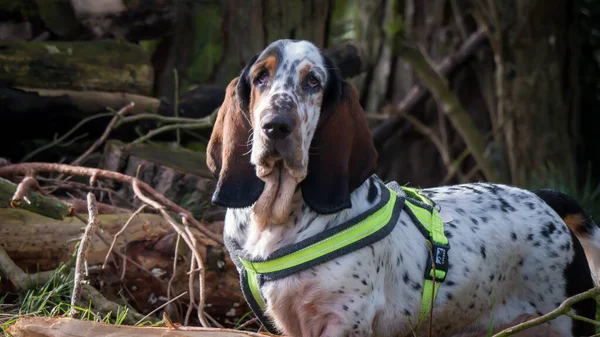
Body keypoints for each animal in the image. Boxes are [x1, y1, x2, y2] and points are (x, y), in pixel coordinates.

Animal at [207, 38, 600, 334]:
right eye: (261, 77)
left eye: (313, 82)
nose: (276, 126)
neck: (279, 220)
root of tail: (543, 197)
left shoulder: (342, 320)